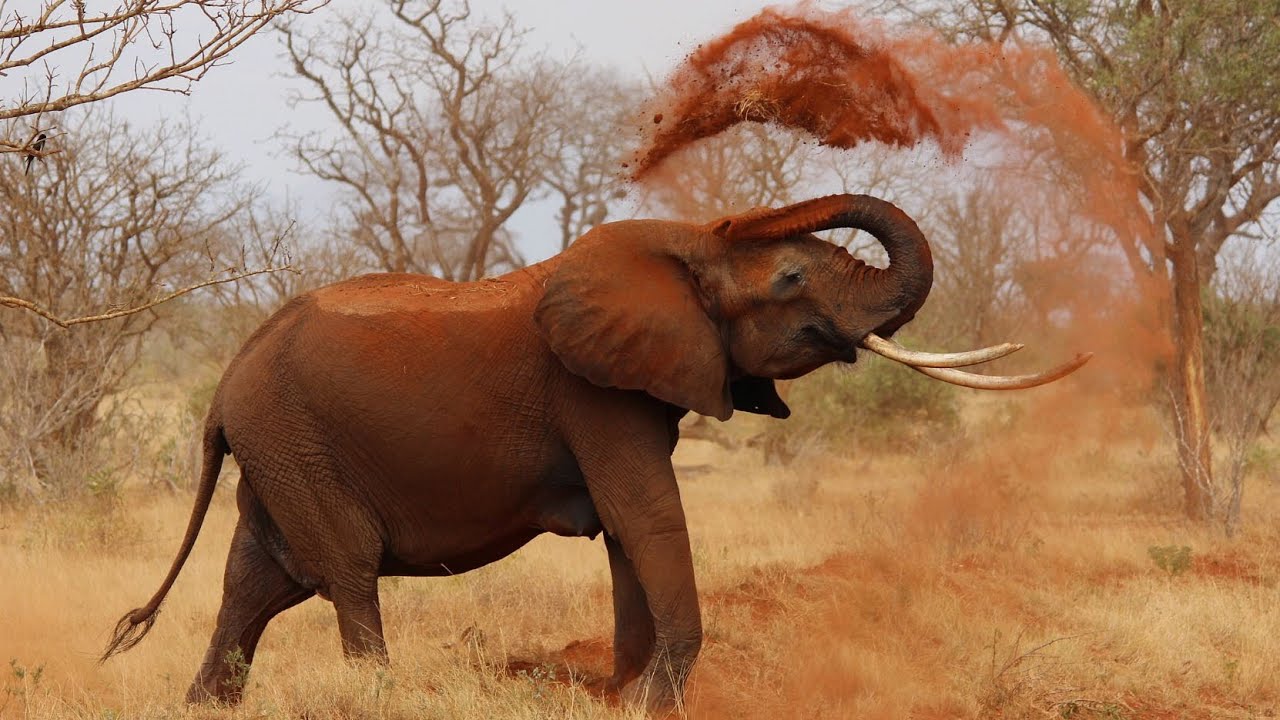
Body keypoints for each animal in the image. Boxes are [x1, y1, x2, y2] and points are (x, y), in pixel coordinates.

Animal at [101, 194, 1087, 712]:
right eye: (792, 278)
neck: (682, 248)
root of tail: (225, 384)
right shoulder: (594, 394)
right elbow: (646, 516)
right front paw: (653, 702)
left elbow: (627, 533)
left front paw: (621, 695)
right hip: (295, 441)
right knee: (343, 573)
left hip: (278, 449)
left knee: (256, 585)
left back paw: (203, 706)